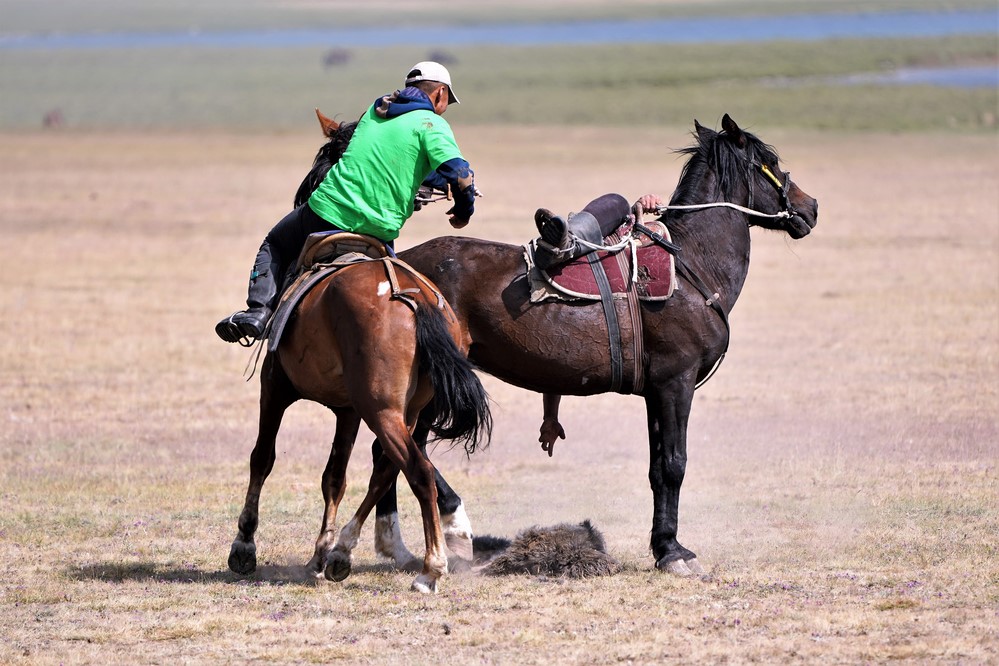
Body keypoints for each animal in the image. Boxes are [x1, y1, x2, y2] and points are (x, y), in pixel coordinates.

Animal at [226, 255, 491, 593]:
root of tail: (414, 296)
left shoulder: (274, 387)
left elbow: (261, 459)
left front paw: (244, 545)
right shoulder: (348, 412)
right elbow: (334, 479)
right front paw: (321, 553)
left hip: (380, 410)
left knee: (419, 471)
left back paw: (430, 569)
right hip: (402, 413)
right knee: (387, 470)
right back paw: (341, 552)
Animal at [297, 111, 818, 574]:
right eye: (770, 160)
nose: (810, 207)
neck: (691, 263)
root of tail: (393, 268)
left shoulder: (657, 390)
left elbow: (656, 468)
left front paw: (662, 545)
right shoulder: (676, 382)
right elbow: (674, 464)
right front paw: (672, 552)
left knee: (391, 453)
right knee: (400, 453)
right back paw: (443, 531)